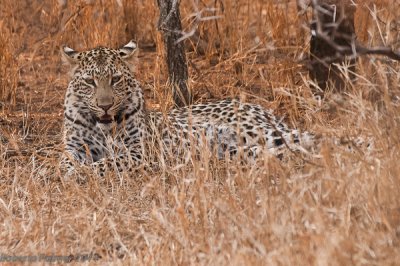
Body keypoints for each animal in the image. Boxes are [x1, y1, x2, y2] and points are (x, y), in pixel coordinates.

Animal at [61, 40, 314, 176]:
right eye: (90, 82)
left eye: (115, 79)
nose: (105, 106)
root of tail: (257, 106)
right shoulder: (75, 146)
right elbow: (64, 161)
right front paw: (69, 171)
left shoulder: (140, 152)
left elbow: (109, 162)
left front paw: (83, 173)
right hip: (240, 150)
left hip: (258, 131)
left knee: (305, 138)